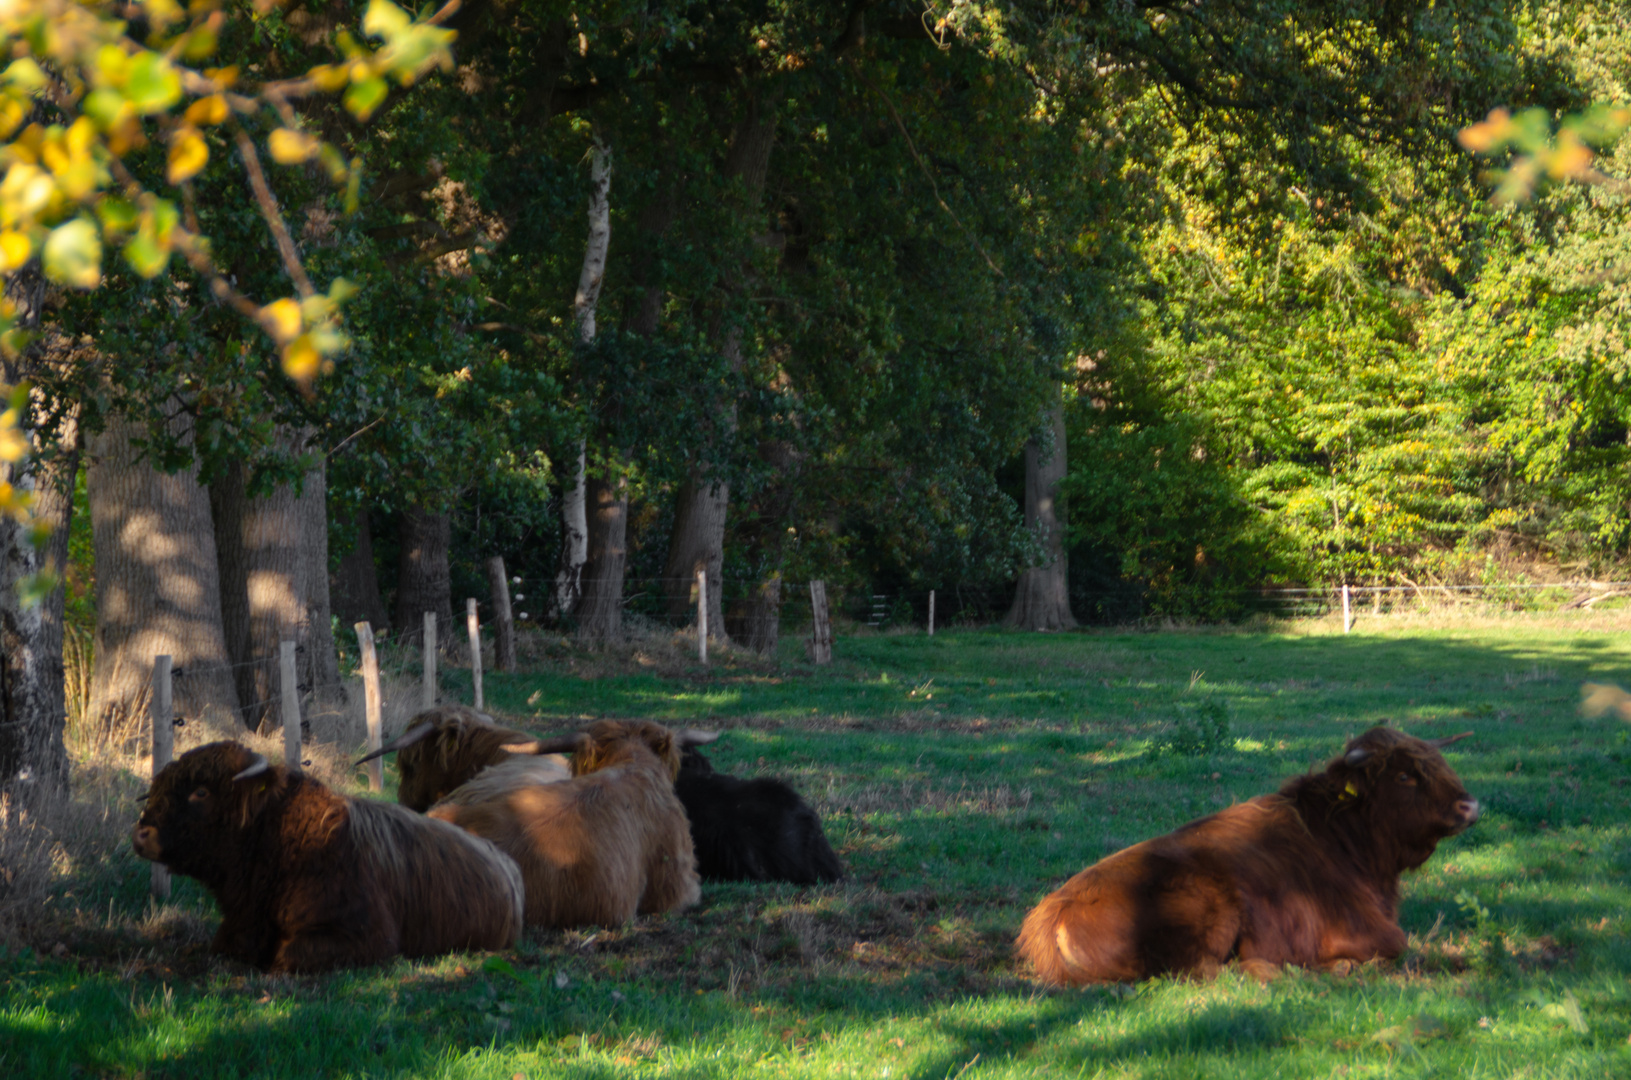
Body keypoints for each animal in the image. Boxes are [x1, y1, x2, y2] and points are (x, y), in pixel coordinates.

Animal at [137, 740, 528, 978]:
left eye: (201, 792)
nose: (141, 833)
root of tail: (507, 866)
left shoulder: (366, 938)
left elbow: (287, 955)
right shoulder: (238, 924)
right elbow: (223, 946)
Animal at [1024, 730, 1487, 985]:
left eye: (1438, 762)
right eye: (1405, 775)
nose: (1470, 806)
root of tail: (1052, 913)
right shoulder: (1359, 930)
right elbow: (1398, 944)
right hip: (1212, 909)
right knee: (1213, 970)